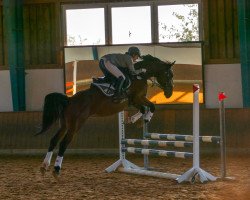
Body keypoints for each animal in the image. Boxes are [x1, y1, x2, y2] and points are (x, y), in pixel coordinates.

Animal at [38, 54, 175, 178]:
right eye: (168, 74)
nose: (169, 94)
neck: (139, 76)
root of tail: (69, 100)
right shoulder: (136, 98)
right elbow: (151, 106)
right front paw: (146, 118)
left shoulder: (135, 101)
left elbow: (144, 108)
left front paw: (134, 120)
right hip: (75, 124)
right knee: (63, 143)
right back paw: (56, 169)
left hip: (65, 124)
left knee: (54, 140)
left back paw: (44, 166)